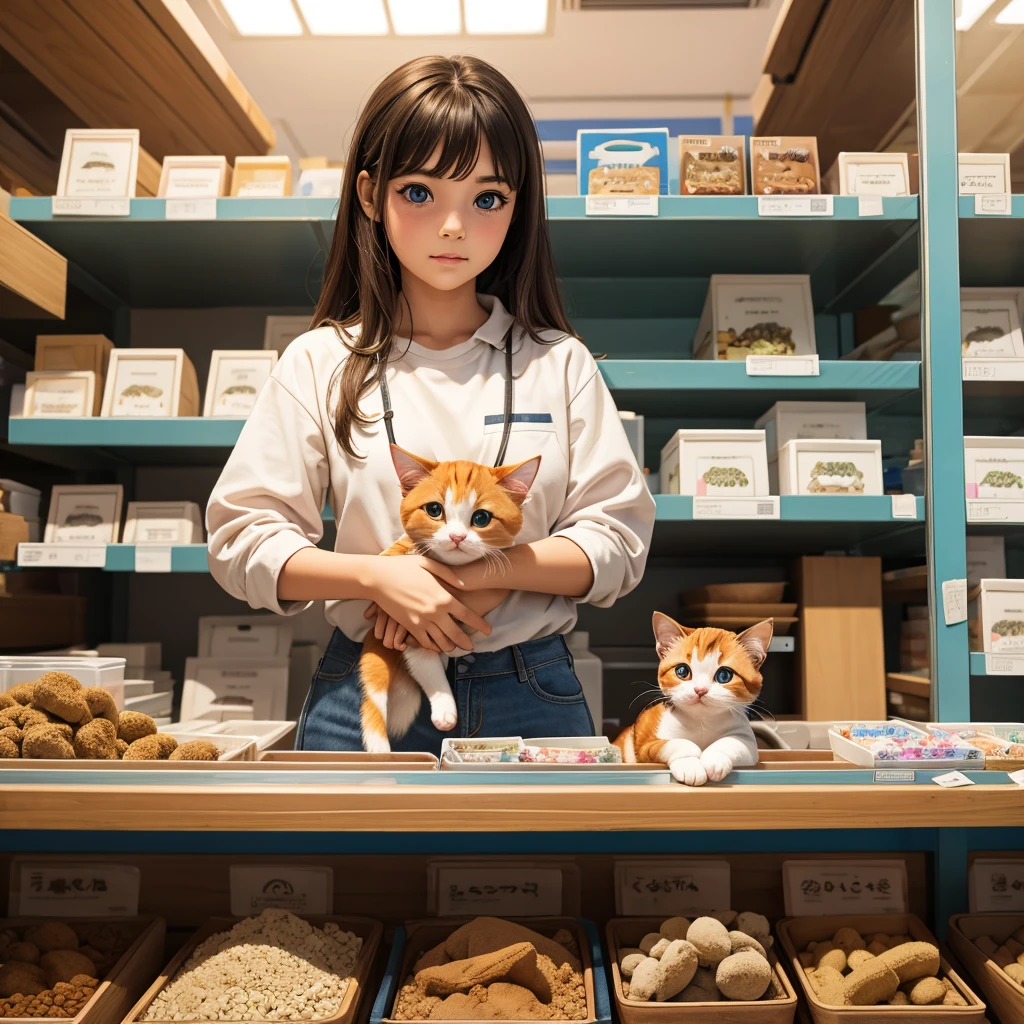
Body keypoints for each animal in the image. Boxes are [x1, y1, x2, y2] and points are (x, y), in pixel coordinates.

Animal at [356, 446, 540, 753]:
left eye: (481, 518)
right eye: (434, 510)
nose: (456, 536)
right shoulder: (408, 626)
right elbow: (424, 662)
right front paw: (444, 706)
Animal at [610, 610, 770, 786]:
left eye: (724, 675)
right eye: (682, 671)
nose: (700, 690)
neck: (701, 722)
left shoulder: (748, 742)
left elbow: (732, 742)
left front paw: (714, 760)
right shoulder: (646, 745)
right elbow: (679, 743)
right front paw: (691, 765)